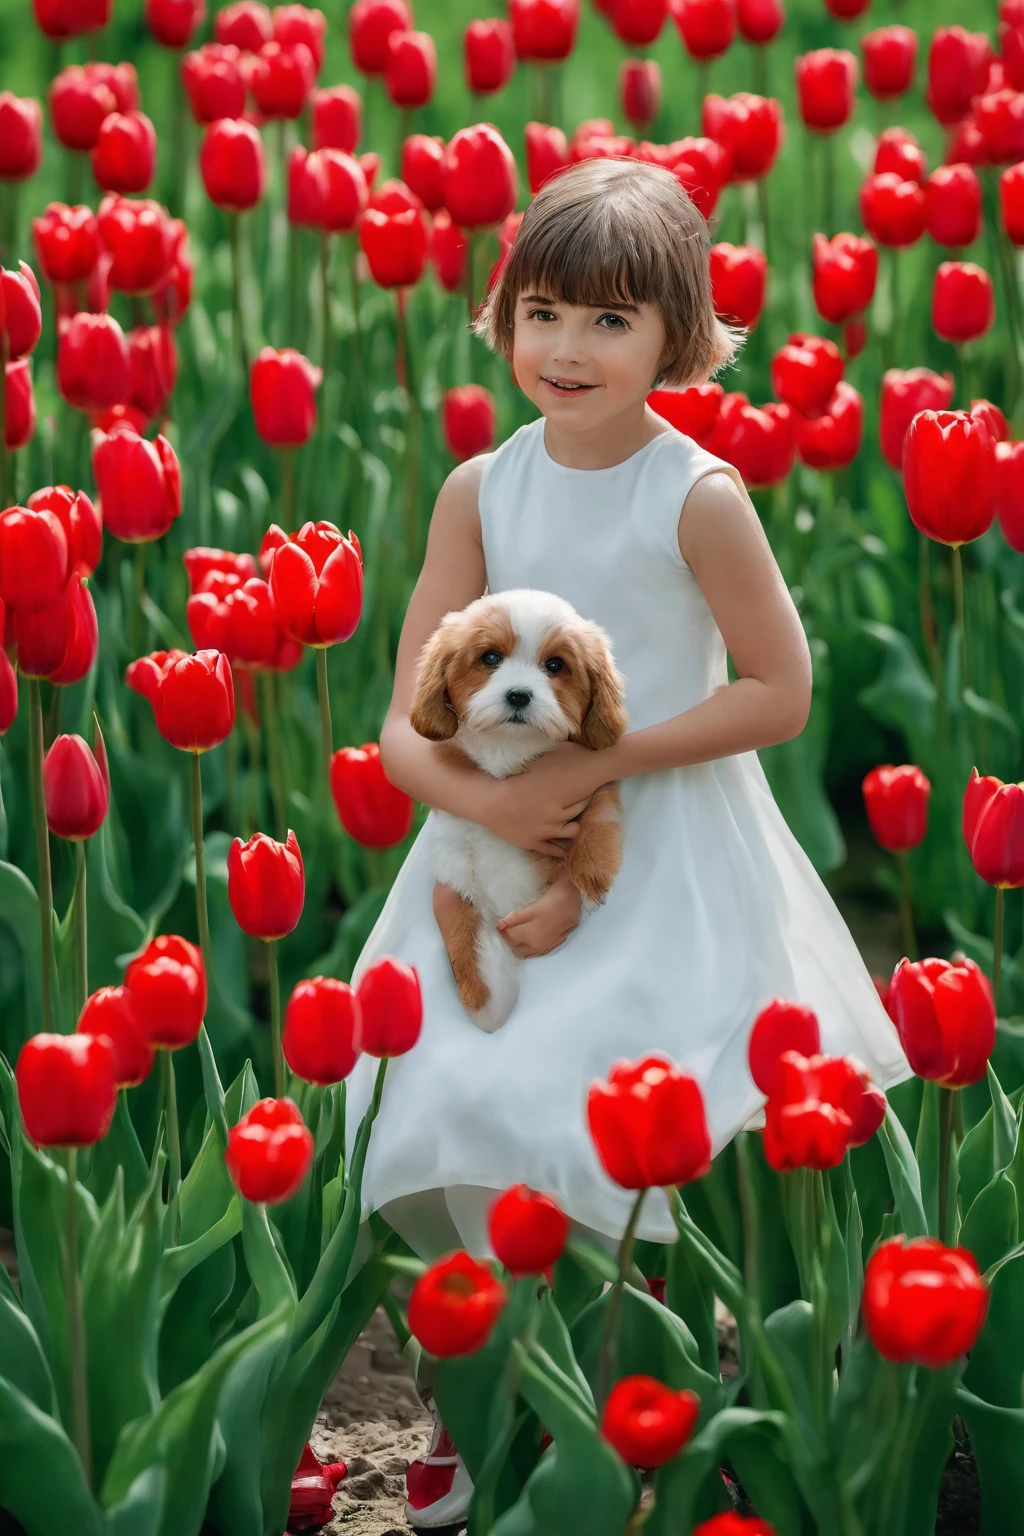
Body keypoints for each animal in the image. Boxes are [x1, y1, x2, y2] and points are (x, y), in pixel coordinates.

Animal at [411, 586, 629, 1032]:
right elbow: (464, 941)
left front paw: (591, 871)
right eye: (490, 658)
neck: (507, 751)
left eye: (555, 665)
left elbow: (600, 806)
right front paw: (483, 1008)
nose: (518, 694)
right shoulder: (457, 873)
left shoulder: (590, 777)